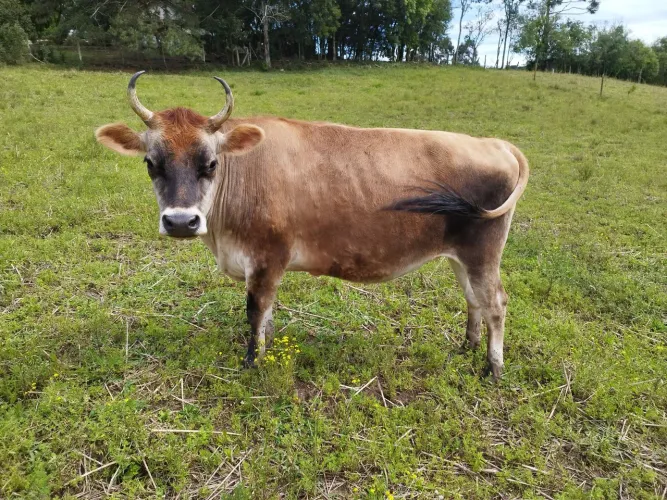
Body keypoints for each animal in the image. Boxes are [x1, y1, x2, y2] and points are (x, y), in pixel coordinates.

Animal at [95, 71, 529, 380]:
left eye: (211, 163)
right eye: (151, 162)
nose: (181, 221)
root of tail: (495, 142)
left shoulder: (267, 256)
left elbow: (255, 309)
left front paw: (253, 361)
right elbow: (267, 313)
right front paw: (268, 344)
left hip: (482, 253)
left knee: (496, 303)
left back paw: (493, 369)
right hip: (461, 256)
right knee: (473, 299)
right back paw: (467, 347)